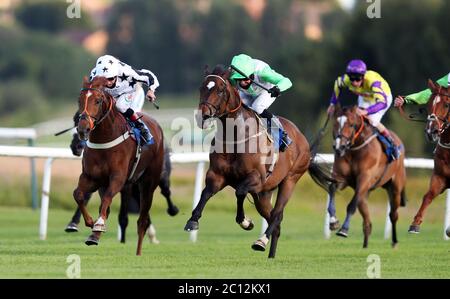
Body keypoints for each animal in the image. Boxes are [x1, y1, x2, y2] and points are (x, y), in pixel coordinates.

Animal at [74, 75, 164, 255]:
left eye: (98, 100)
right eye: (80, 100)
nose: (83, 129)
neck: (104, 140)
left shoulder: (118, 178)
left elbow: (107, 198)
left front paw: (98, 225)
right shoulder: (91, 177)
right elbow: (78, 194)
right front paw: (91, 224)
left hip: (148, 184)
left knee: (142, 221)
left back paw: (138, 253)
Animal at [183, 65, 334, 258]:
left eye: (220, 90)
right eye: (201, 88)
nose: (203, 115)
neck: (236, 138)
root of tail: (302, 138)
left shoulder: (256, 178)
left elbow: (239, 192)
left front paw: (245, 221)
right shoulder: (217, 175)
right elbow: (206, 193)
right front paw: (192, 221)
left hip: (290, 180)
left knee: (277, 215)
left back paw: (261, 241)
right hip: (263, 193)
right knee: (274, 221)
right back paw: (270, 254)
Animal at [326, 105, 406, 248]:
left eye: (351, 124)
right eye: (335, 123)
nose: (339, 147)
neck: (355, 149)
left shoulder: (364, 180)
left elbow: (351, 206)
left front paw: (344, 230)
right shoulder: (341, 178)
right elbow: (332, 190)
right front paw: (333, 221)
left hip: (395, 187)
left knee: (393, 215)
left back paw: (394, 241)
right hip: (366, 194)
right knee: (367, 221)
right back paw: (365, 245)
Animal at [410, 79, 450, 234]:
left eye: (446, 104)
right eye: (428, 104)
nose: (430, 131)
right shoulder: (440, 176)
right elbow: (428, 195)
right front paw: (415, 223)